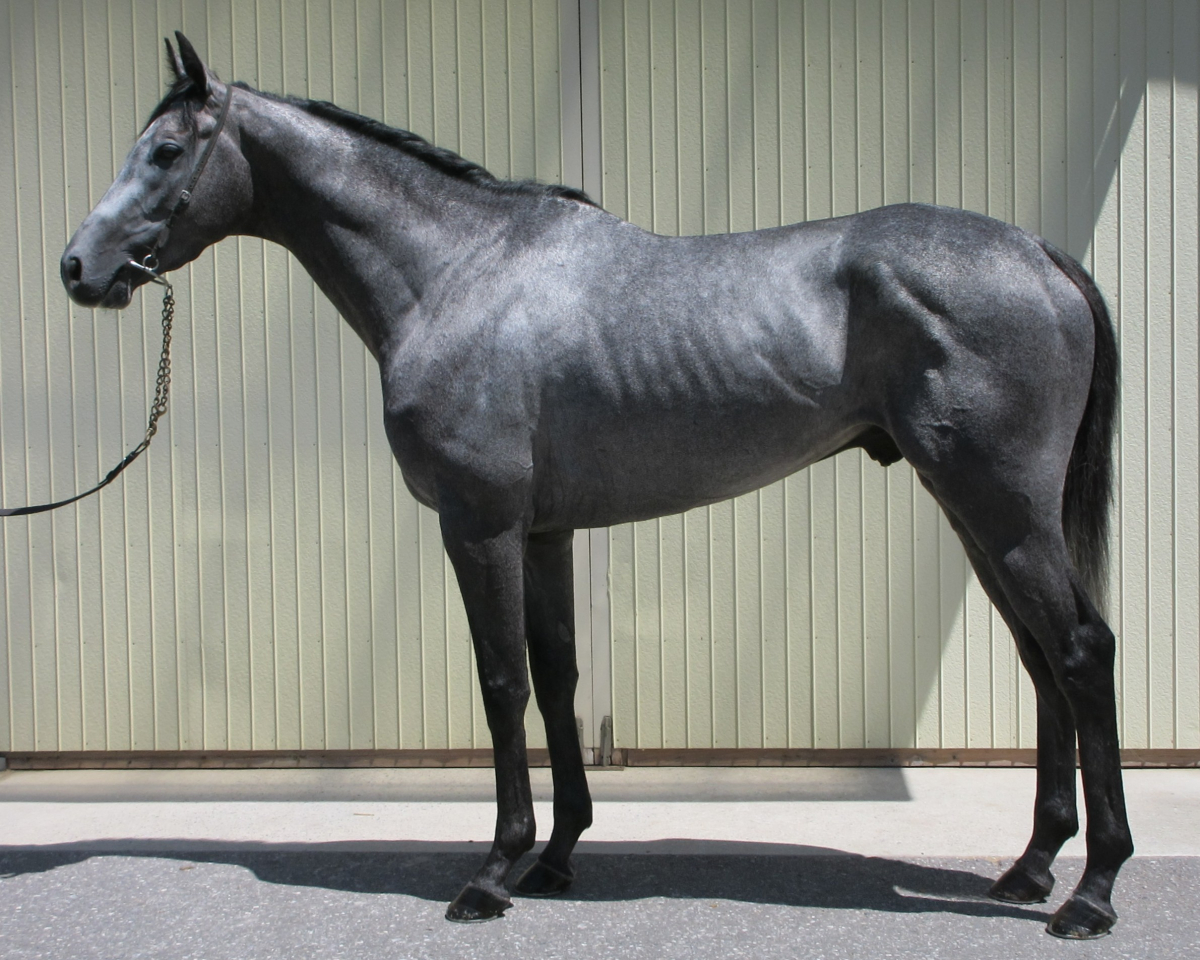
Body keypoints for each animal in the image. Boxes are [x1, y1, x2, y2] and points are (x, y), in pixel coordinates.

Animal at [60, 33, 1128, 938]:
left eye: (165, 151)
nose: (78, 267)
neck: (458, 273)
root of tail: (1039, 254)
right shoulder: (544, 533)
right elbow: (561, 676)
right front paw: (560, 855)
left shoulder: (479, 526)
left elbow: (502, 682)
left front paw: (494, 872)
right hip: (979, 517)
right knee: (1041, 662)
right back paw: (1031, 867)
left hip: (1002, 512)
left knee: (1082, 652)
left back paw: (1091, 892)